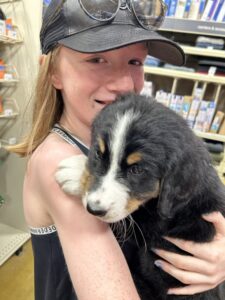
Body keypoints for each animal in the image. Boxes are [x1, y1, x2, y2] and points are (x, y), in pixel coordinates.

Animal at [55, 93, 225, 298]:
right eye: (98, 153)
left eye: (137, 170)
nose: (93, 209)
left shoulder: (157, 231)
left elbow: (130, 220)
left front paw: (74, 171)